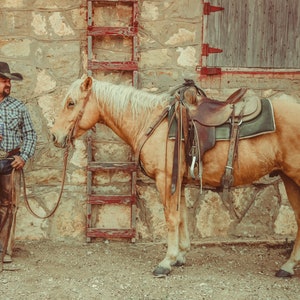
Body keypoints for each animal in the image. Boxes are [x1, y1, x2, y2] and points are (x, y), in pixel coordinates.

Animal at [52, 76, 300, 278]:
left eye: (71, 103)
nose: (55, 136)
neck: (152, 122)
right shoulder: (178, 181)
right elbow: (181, 217)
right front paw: (180, 256)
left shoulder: (166, 179)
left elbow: (171, 218)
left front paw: (166, 261)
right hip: (289, 180)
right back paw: (287, 267)